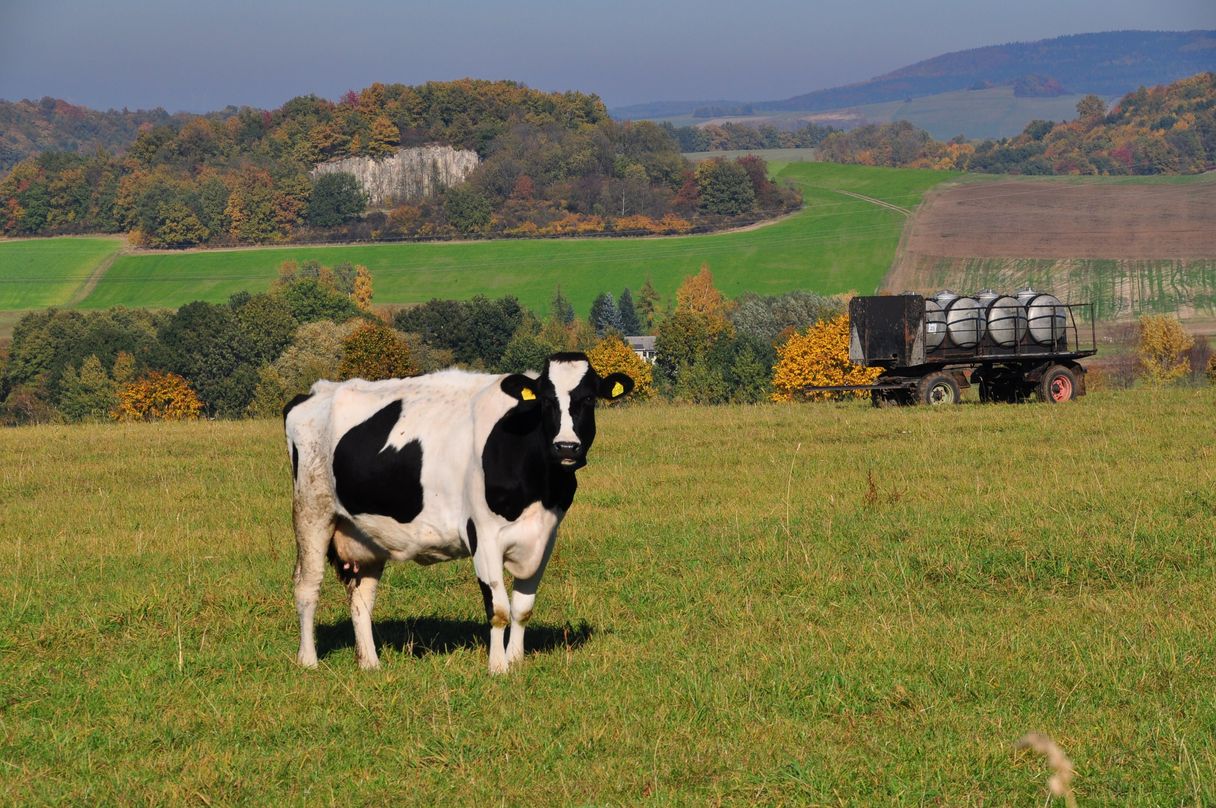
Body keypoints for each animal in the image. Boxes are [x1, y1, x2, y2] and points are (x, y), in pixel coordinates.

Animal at [282, 352, 627, 676]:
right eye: (545, 401)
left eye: (589, 399)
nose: (566, 447)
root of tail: (315, 392)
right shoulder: (483, 536)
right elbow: (499, 609)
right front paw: (498, 667)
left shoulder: (544, 536)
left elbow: (522, 608)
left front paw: (515, 660)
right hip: (312, 510)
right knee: (307, 585)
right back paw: (309, 660)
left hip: (365, 533)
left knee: (361, 597)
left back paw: (370, 662)